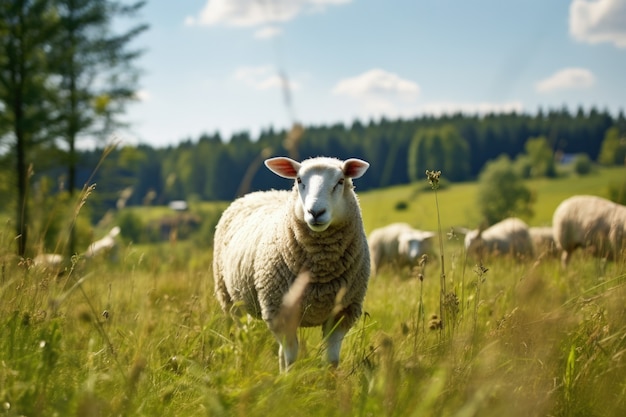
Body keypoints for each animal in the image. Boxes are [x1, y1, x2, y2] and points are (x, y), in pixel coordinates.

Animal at [214, 156, 370, 370]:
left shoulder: (342, 313)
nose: (315, 212)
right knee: (238, 338)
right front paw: (289, 378)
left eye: (340, 181)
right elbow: (291, 358)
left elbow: (331, 360)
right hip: (228, 299)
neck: (320, 271)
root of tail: (257, 193)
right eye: (298, 180)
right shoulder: (279, 312)